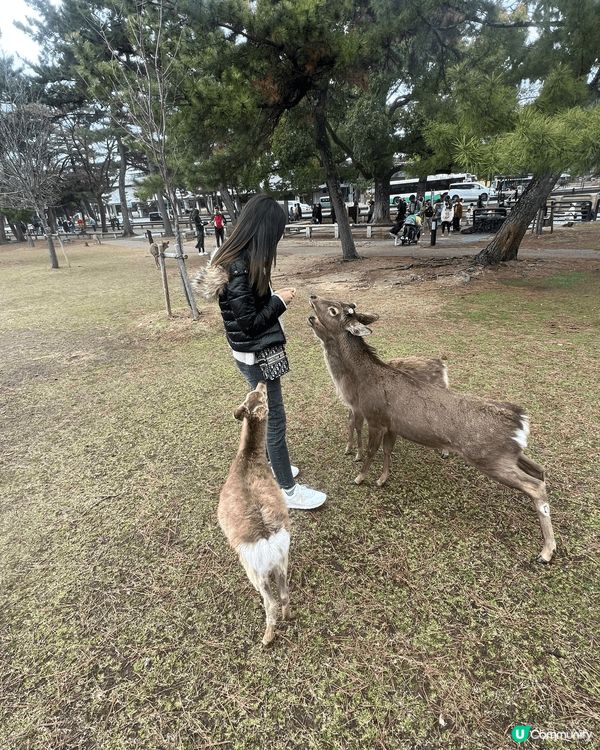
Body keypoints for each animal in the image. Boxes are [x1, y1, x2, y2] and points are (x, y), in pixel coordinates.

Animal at [218, 382, 291, 645]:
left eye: (261, 396)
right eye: (252, 394)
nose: (262, 382)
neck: (247, 459)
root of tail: (269, 542)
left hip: (255, 572)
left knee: (270, 603)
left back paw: (267, 638)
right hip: (282, 562)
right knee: (284, 594)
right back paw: (287, 615)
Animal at [308, 295, 556, 563]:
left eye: (333, 310)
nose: (312, 297)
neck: (362, 381)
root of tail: (521, 421)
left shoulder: (374, 417)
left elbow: (372, 451)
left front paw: (360, 477)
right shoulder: (391, 425)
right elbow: (387, 451)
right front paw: (382, 479)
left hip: (489, 457)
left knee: (535, 486)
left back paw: (546, 551)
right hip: (509, 454)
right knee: (540, 470)